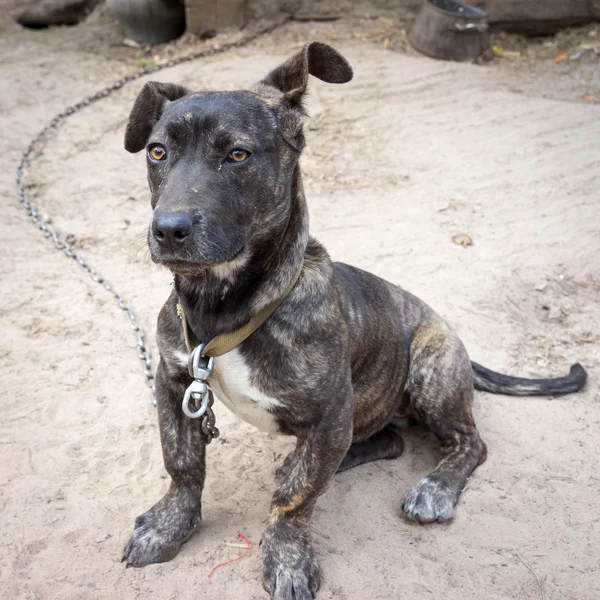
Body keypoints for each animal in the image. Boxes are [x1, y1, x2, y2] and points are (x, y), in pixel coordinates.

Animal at [120, 43, 584, 600]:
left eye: (238, 155)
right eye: (157, 152)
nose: (168, 229)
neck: (224, 306)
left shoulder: (329, 415)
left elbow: (296, 498)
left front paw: (288, 558)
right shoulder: (173, 383)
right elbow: (183, 463)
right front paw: (169, 526)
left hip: (430, 366)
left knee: (469, 442)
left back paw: (434, 487)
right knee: (387, 441)